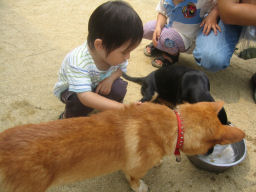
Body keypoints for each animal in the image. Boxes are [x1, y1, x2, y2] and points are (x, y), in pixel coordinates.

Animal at [0, 101, 245, 191]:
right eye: (211, 148)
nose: (211, 153)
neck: (177, 126)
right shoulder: (135, 170)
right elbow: (135, 179)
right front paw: (141, 186)